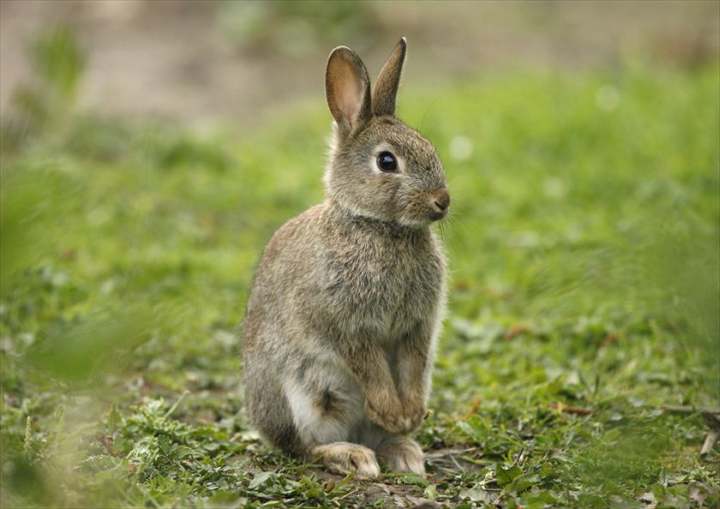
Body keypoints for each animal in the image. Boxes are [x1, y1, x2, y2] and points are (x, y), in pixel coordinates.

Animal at [243, 37, 449, 479]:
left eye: (430, 148)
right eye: (387, 161)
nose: (442, 201)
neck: (380, 227)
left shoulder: (417, 327)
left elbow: (414, 363)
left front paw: (409, 415)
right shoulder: (348, 325)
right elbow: (369, 365)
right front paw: (393, 412)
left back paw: (403, 450)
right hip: (303, 399)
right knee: (303, 448)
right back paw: (352, 455)